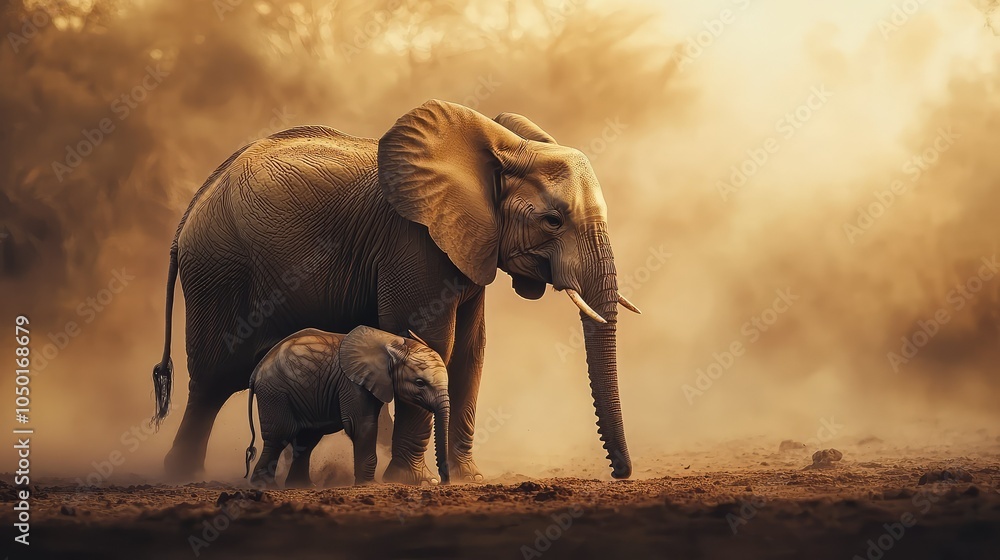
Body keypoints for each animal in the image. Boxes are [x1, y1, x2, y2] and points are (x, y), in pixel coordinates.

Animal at [244, 326, 450, 487]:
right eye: (420, 383)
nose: (441, 482)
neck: (392, 341)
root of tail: (256, 371)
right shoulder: (351, 383)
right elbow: (361, 427)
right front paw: (370, 485)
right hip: (275, 393)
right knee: (280, 436)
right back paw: (264, 486)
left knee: (306, 440)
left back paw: (302, 486)